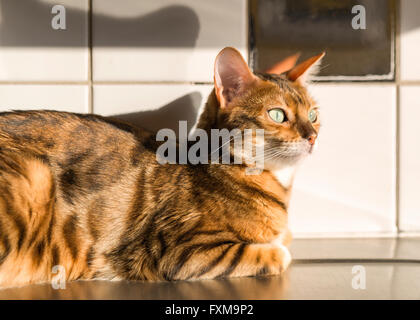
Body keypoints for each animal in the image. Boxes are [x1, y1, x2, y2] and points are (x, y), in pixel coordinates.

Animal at [0, 47, 324, 288]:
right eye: (277, 114)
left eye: (313, 115)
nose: (312, 136)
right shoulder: (181, 250)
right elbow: (273, 253)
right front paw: (277, 251)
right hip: (33, 177)